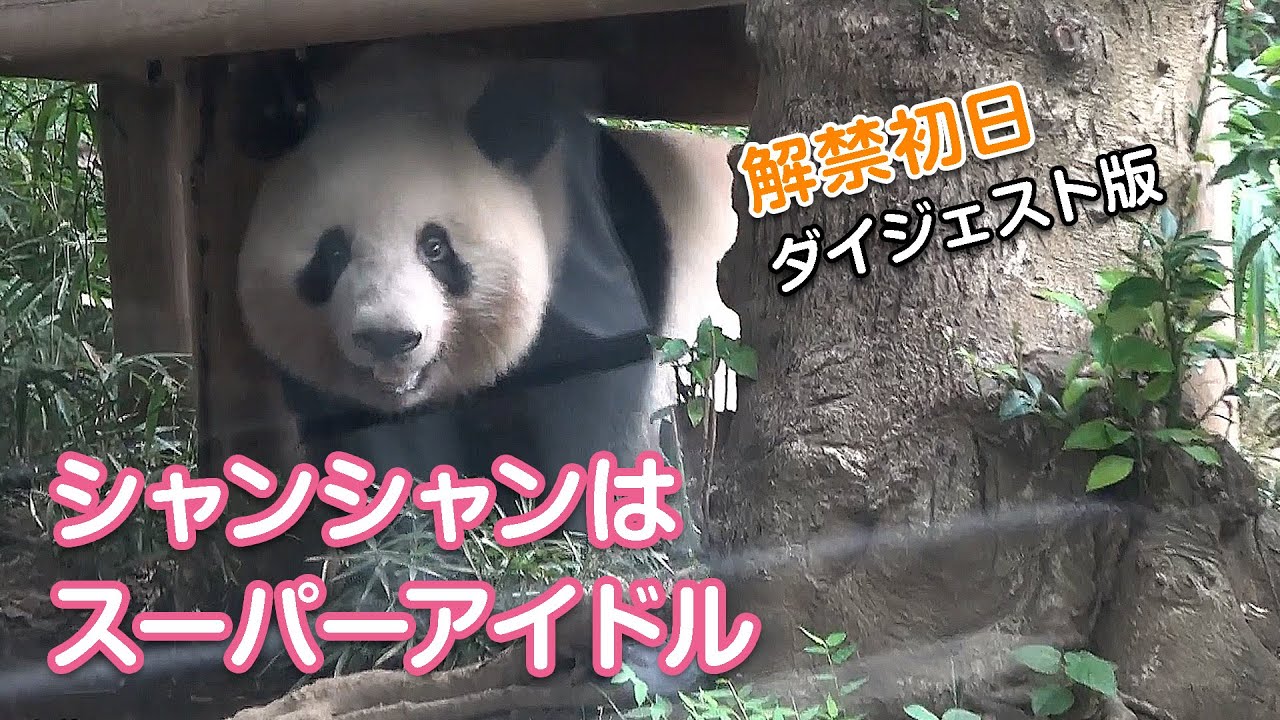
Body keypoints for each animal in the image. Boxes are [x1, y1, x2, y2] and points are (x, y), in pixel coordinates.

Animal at [232, 40, 739, 694]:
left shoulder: (587, 272)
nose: (390, 339)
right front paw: (406, 595)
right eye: (333, 251)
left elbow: (605, 424)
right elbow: (381, 464)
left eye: (436, 247)